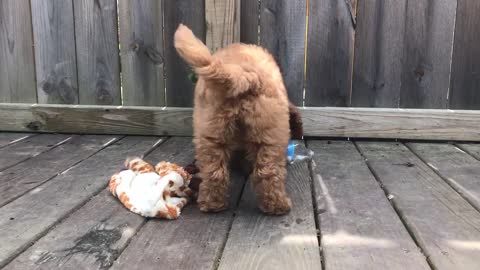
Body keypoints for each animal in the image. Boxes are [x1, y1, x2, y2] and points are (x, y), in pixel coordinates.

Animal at [174, 24, 298, 215]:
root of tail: (245, 77)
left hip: (212, 132)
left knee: (215, 171)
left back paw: (213, 204)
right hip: (270, 135)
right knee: (268, 171)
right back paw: (277, 206)